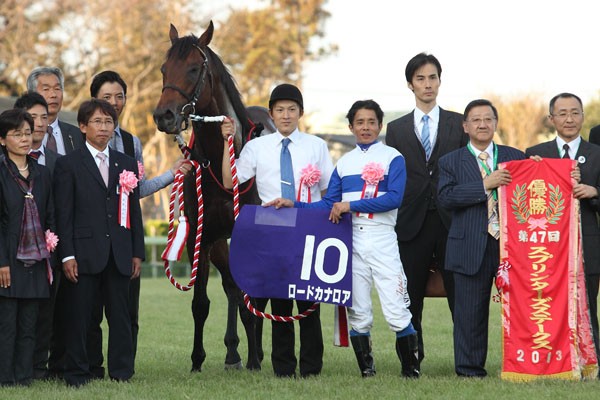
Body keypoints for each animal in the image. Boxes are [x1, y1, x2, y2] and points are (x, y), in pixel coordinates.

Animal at [151, 21, 274, 372]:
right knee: (231, 286)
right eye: (164, 69)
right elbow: (201, 303)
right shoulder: (202, 236)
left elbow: (250, 298)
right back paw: (233, 352)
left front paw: (256, 360)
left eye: (194, 68)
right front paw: (197, 360)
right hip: (220, 241)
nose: (164, 115)